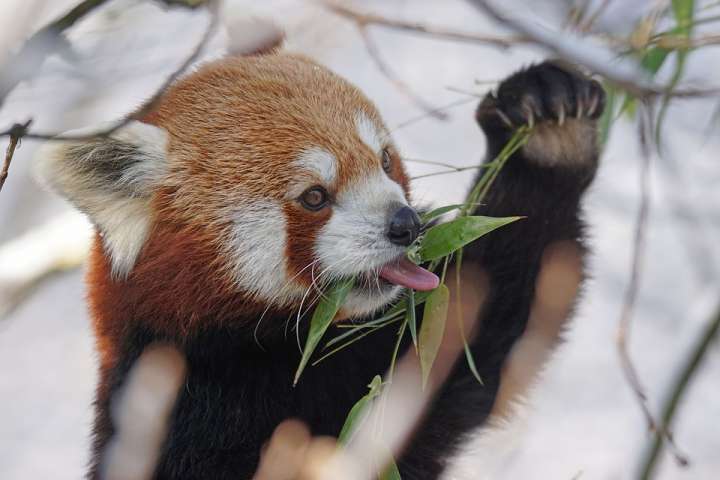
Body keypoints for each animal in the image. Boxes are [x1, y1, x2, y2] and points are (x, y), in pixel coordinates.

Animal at [36, 53, 604, 480]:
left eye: (384, 160)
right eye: (315, 196)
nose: (406, 224)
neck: (272, 359)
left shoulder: (381, 367)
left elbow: (481, 323)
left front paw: (545, 127)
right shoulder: (172, 418)